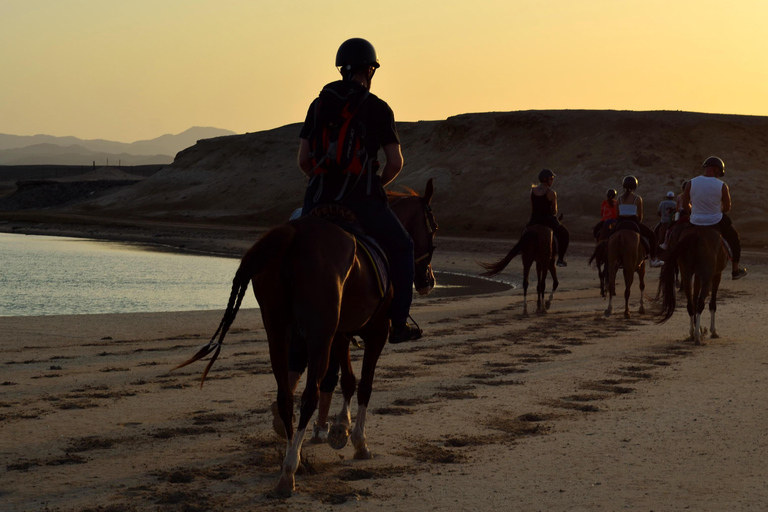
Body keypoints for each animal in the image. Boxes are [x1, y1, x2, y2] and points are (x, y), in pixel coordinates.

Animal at [176, 178, 438, 494]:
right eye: (433, 227)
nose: (429, 280)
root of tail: (293, 234)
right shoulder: (374, 333)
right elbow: (363, 385)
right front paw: (358, 441)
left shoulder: (339, 335)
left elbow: (347, 381)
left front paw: (340, 428)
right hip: (318, 336)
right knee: (309, 396)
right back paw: (289, 470)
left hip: (279, 332)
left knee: (286, 395)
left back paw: (293, 458)